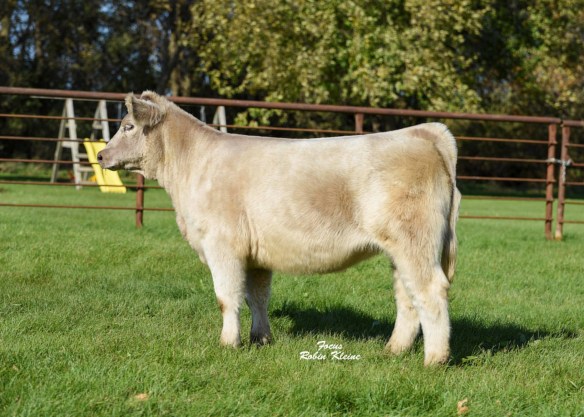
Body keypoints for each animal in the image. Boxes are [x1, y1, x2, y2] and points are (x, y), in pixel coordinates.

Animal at [97, 91, 461, 366]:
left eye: (128, 126)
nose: (100, 155)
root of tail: (422, 131)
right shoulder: (255, 253)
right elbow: (257, 296)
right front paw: (261, 339)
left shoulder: (222, 245)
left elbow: (226, 297)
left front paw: (228, 343)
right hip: (402, 248)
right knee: (407, 296)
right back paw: (394, 350)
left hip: (414, 241)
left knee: (429, 291)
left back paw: (434, 359)